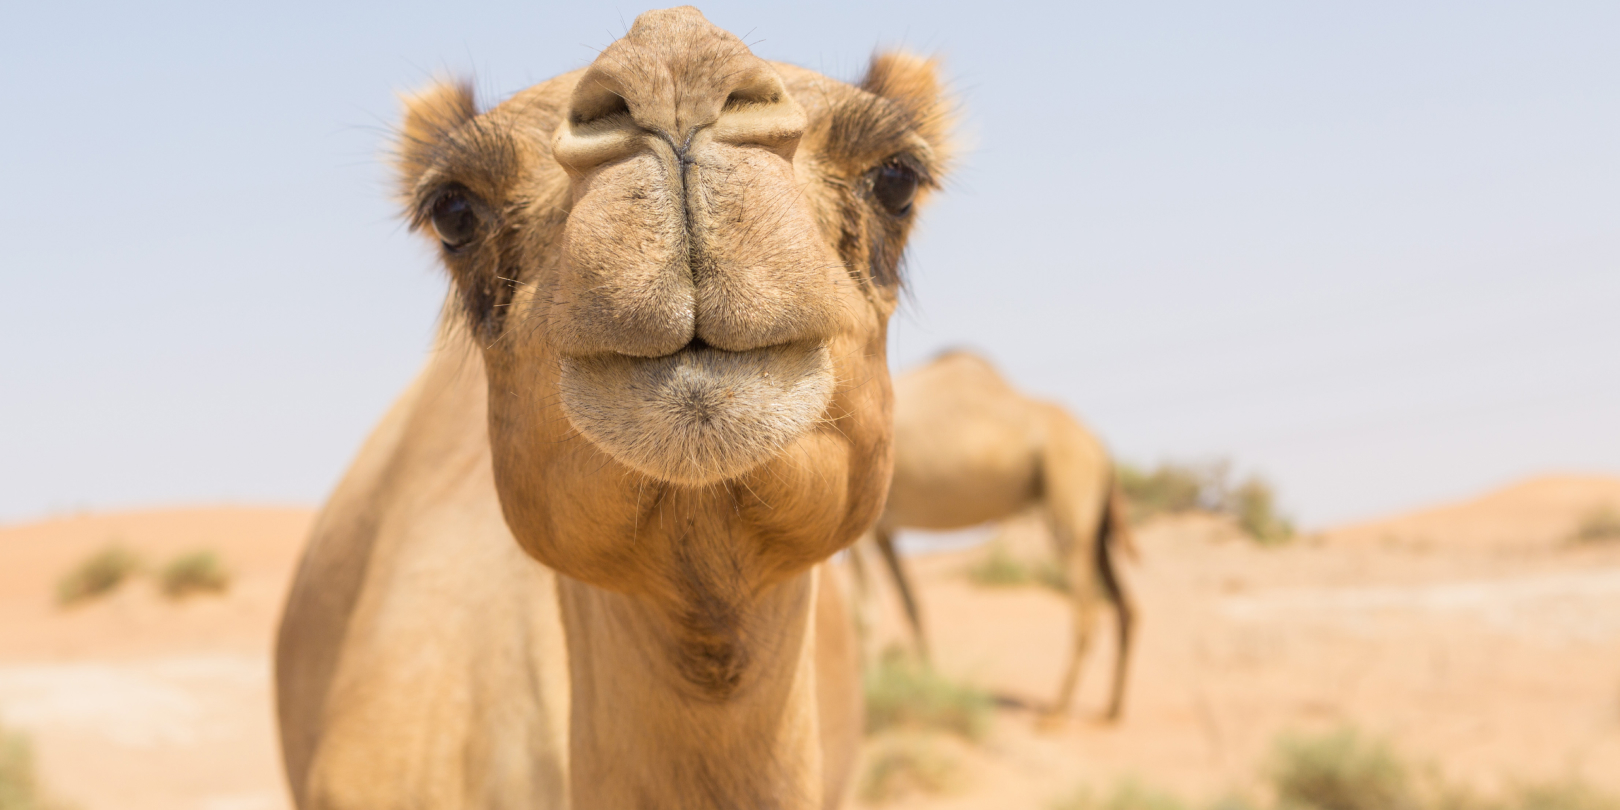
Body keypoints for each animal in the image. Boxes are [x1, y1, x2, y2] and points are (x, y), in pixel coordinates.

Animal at [855, 351, 1134, 719]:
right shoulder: (885, 529)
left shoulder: (865, 526)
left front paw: (868, 696)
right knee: (1125, 604)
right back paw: (1111, 710)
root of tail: (1101, 447)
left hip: (1070, 486)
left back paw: (1055, 713)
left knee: (1086, 610)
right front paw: (930, 681)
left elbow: (865, 612)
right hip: (1097, 522)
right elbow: (910, 602)